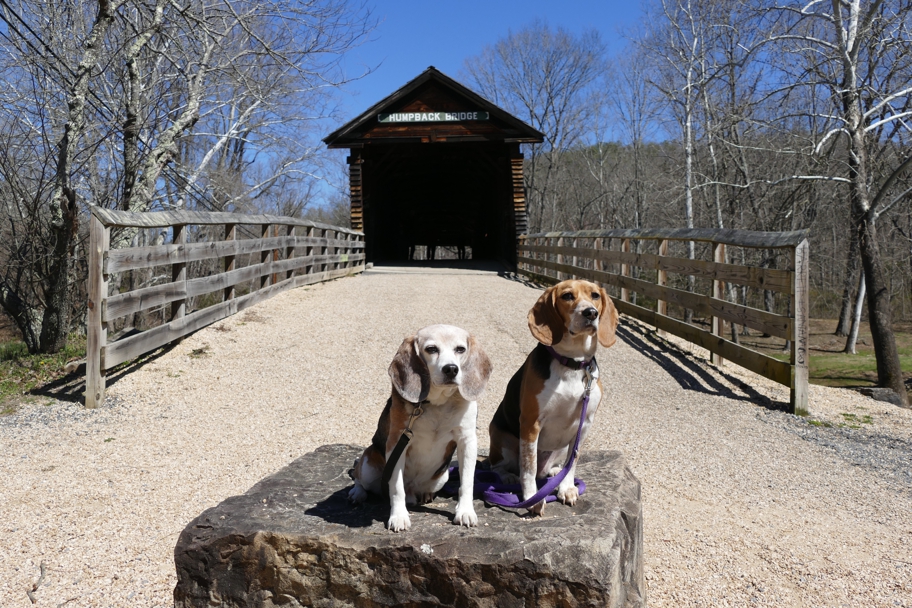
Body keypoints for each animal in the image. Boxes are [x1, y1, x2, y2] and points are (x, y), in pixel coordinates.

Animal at [350, 326, 492, 528]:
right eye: (431, 349)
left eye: (460, 349)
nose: (451, 369)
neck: (437, 403)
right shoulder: (397, 442)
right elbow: (396, 487)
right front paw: (399, 516)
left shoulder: (468, 441)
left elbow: (466, 482)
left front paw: (465, 511)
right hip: (369, 465)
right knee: (359, 477)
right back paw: (357, 493)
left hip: (442, 477)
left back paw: (425, 494)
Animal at [488, 280, 616, 512]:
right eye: (567, 296)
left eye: (595, 295)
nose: (591, 313)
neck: (573, 363)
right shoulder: (531, 423)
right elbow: (528, 465)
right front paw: (531, 497)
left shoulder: (584, 424)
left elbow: (573, 461)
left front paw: (566, 488)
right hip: (502, 438)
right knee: (499, 465)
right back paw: (508, 477)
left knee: (555, 466)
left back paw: (555, 472)